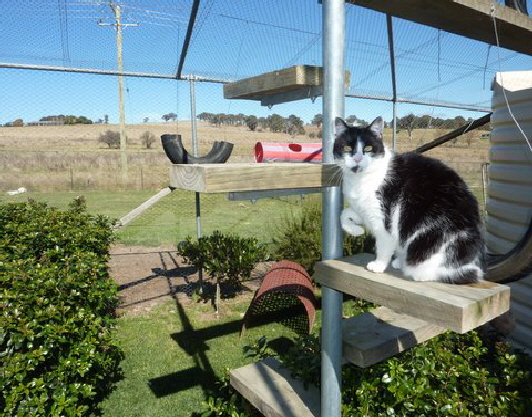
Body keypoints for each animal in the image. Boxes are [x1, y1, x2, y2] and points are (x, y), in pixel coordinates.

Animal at [334, 116, 484, 282]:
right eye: (347, 148)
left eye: (368, 149)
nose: (358, 158)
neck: (359, 180)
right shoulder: (364, 209)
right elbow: (344, 214)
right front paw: (356, 230)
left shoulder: (384, 217)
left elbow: (383, 243)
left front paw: (379, 265)